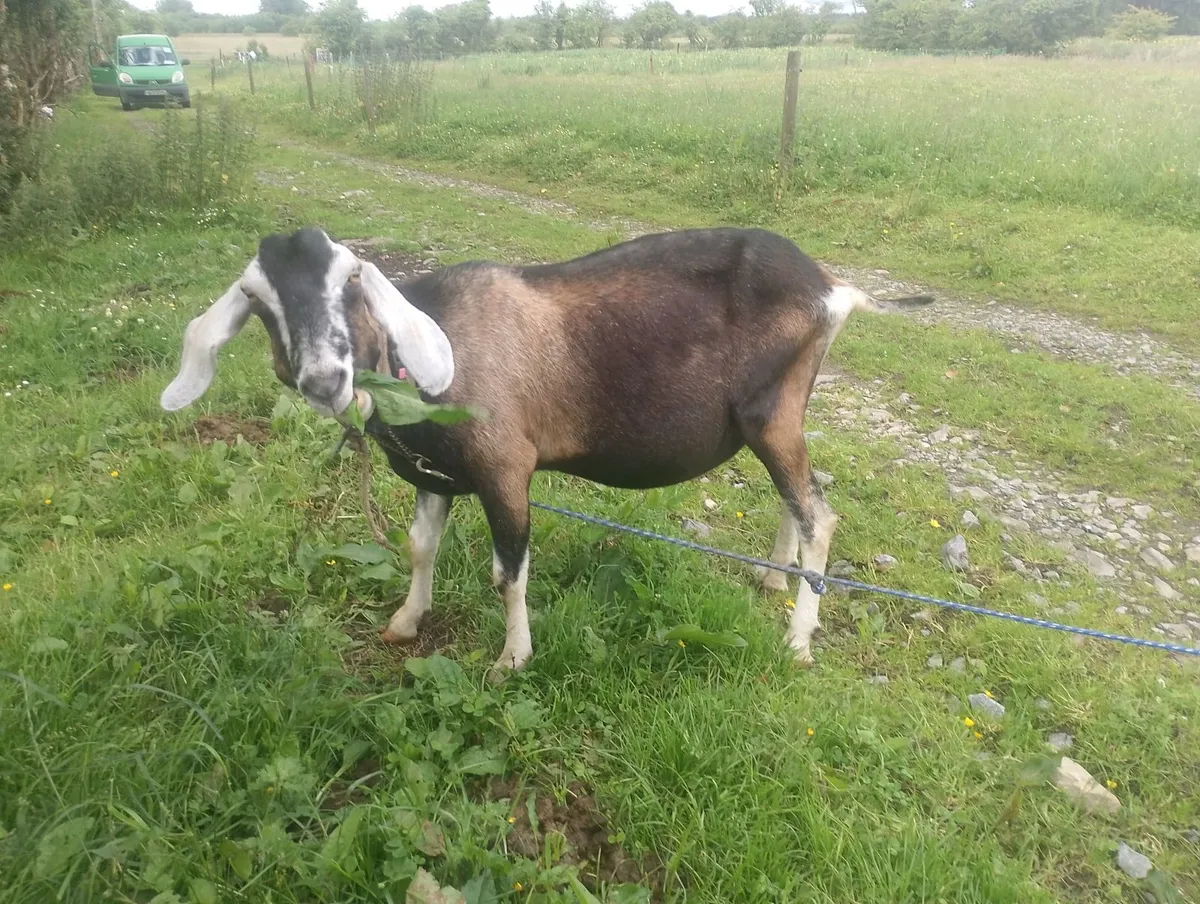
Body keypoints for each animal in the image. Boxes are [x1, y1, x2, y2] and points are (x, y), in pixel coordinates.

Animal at [161, 226, 933, 677]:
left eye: (351, 278)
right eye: (257, 298)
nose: (325, 380)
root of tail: (831, 290)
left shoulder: (504, 468)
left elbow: (508, 574)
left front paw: (512, 658)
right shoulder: (436, 473)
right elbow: (419, 547)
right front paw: (405, 623)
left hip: (771, 411)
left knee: (819, 514)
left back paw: (799, 638)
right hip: (772, 417)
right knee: (798, 496)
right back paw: (775, 578)